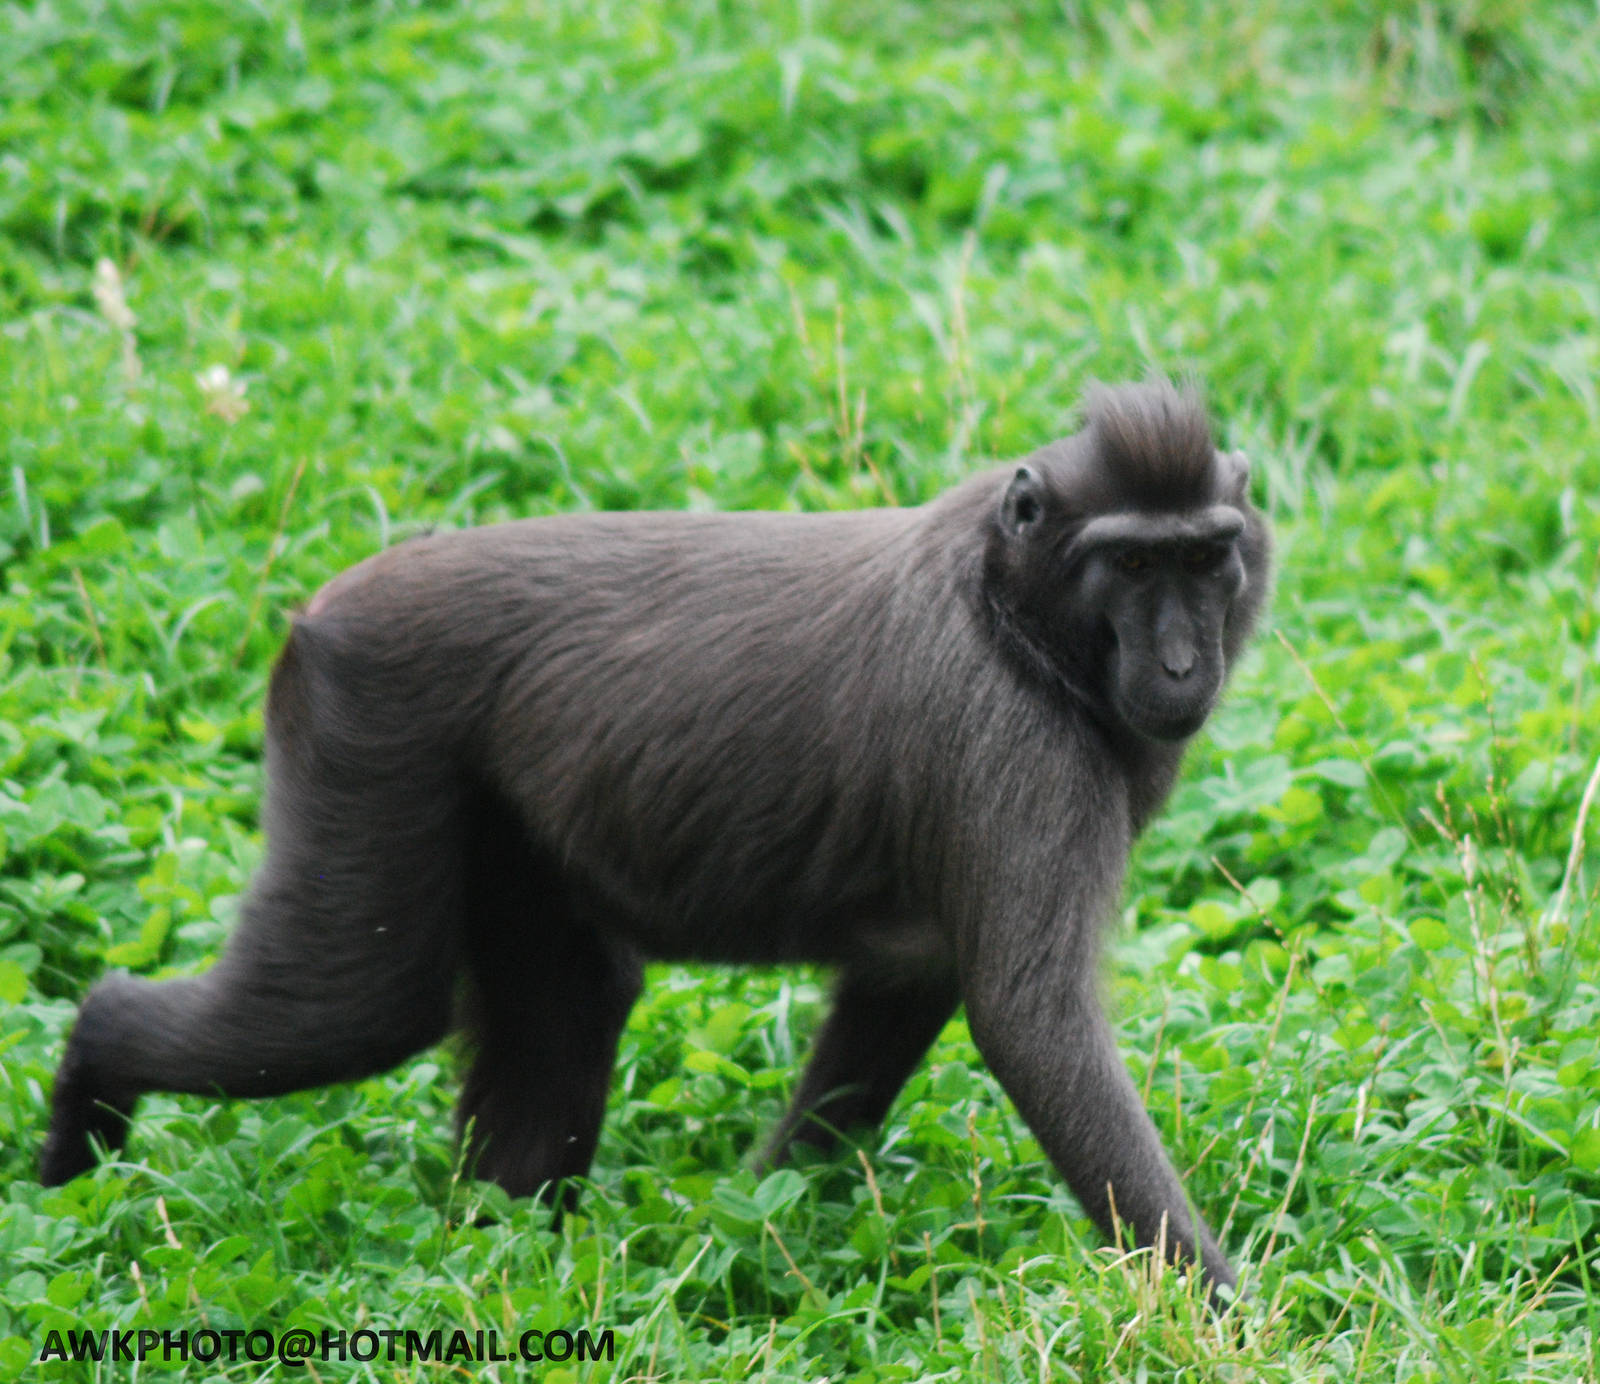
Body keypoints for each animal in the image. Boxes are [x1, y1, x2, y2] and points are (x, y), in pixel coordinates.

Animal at [41, 378, 1270, 1294]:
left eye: (1205, 557)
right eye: (1131, 562)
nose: (1180, 666)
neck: (1010, 604)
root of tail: (323, 610)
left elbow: (903, 987)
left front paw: (768, 1218)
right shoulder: (1011, 742)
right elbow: (1031, 1023)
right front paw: (1225, 1317)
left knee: (563, 1012)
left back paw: (497, 1262)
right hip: (368, 739)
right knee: (345, 1008)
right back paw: (78, 1133)